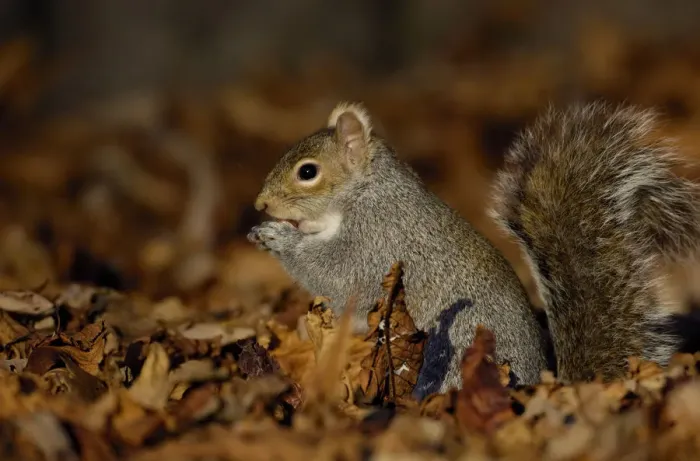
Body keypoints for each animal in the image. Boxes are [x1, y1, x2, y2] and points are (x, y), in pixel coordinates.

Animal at [247, 100, 700, 399]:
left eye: (308, 172)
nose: (260, 204)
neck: (364, 192)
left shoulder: (378, 238)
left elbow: (338, 273)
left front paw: (278, 238)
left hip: (450, 351)